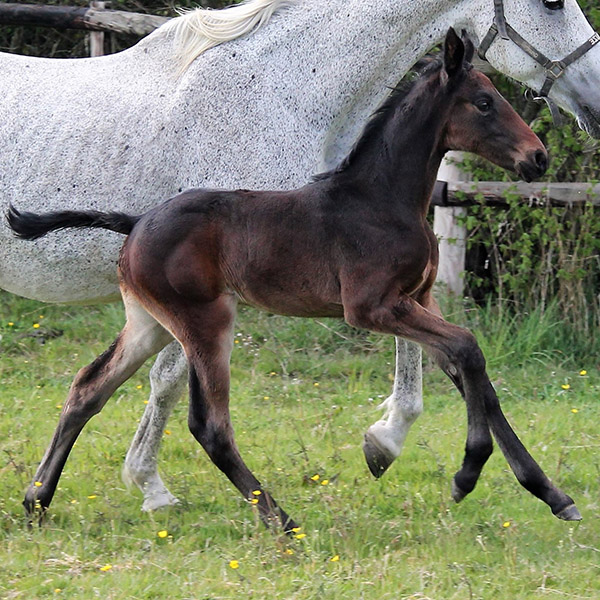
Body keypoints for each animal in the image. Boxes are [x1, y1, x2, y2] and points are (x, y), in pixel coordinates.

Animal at [8, 31, 580, 528]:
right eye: (483, 102)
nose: (538, 157)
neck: (383, 200)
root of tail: (136, 222)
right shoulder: (372, 306)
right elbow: (468, 348)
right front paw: (466, 474)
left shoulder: (419, 300)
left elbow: (474, 377)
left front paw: (552, 494)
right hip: (207, 321)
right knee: (209, 425)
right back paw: (280, 521)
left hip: (149, 322)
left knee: (88, 388)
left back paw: (37, 501)